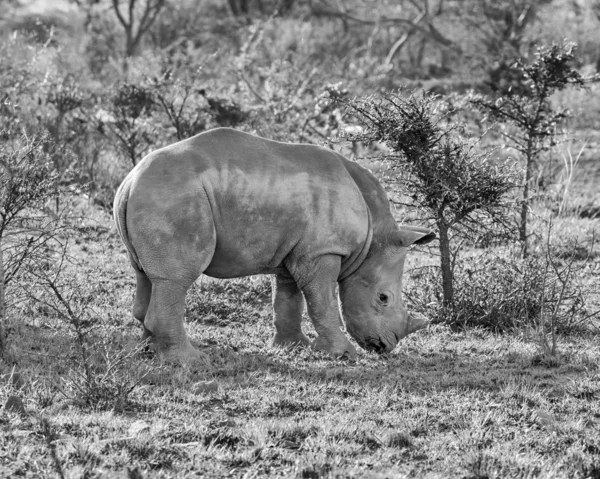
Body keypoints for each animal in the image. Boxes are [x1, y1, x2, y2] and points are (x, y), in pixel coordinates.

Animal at [112, 127, 434, 364]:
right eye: (383, 298)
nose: (386, 346)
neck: (373, 239)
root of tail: (129, 182)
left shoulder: (294, 250)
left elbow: (288, 298)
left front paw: (292, 347)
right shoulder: (323, 250)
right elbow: (322, 301)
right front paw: (342, 354)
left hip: (158, 195)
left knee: (146, 274)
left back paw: (151, 352)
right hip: (176, 196)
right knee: (177, 278)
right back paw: (191, 361)